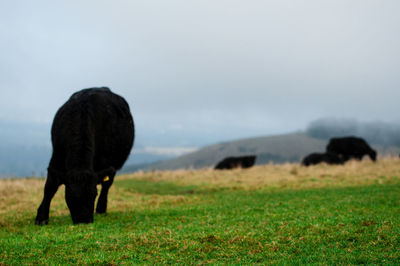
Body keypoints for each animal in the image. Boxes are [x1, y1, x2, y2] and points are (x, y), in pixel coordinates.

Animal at [35, 88, 134, 224]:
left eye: (94, 194)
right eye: (70, 196)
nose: (84, 221)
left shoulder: (105, 162)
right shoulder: (56, 158)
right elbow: (50, 187)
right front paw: (41, 217)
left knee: (107, 183)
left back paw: (101, 208)